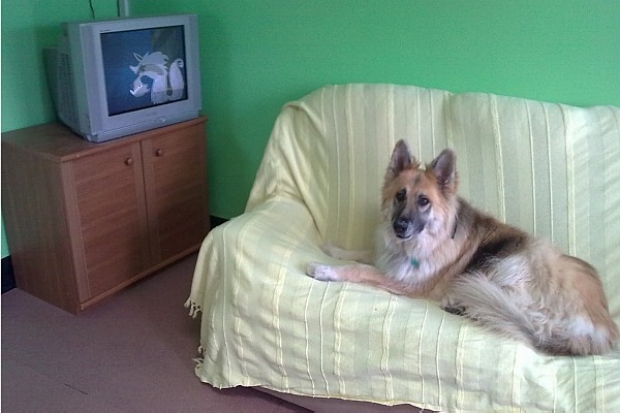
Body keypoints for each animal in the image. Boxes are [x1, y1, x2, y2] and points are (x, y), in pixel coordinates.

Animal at [307, 140, 619, 356]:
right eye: (400, 195)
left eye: (424, 201)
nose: (400, 227)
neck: (428, 240)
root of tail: (605, 328)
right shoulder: (387, 258)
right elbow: (364, 254)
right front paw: (335, 250)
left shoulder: (407, 283)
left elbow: (360, 270)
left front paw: (326, 269)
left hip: (517, 261)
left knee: (526, 316)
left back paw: (462, 304)